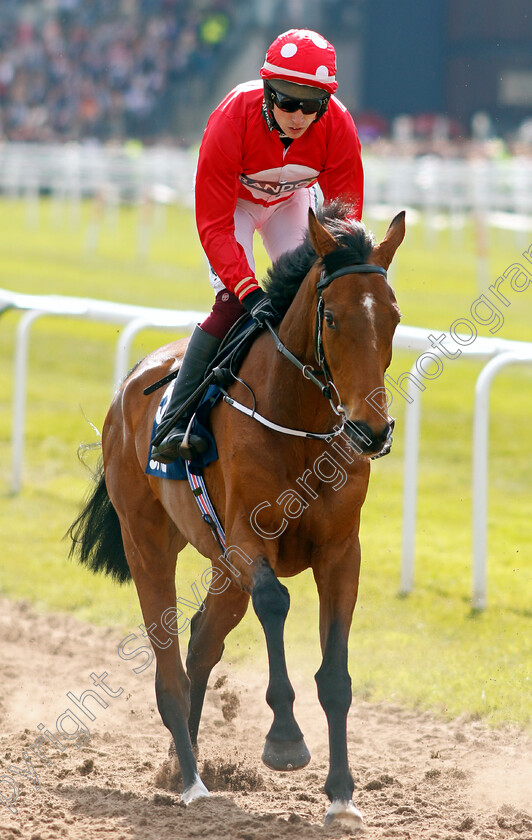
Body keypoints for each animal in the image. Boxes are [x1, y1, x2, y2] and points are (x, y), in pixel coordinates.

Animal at [69, 205, 404, 828]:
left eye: (393, 316)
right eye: (332, 317)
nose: (370, 431)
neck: (299, 425)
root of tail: (131, 383)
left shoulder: (341, 551)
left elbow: (337, 675)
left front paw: (342, 796)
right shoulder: (250, 540)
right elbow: (275, 600)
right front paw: (285, 740)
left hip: (221, 566)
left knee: (202, 640)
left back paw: (181, 764)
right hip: (148, 541)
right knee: (170, 665)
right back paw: (193, 782)